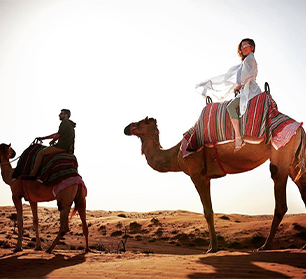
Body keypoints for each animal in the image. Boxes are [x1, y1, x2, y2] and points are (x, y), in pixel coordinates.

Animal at [124, 117, 306, 253]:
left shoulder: (196, 174)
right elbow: (209, 210)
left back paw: (264, 246)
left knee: (280, 200)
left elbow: (208, 212)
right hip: (293, 163)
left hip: (281, 154)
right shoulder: (207, 177)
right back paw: (302, 246)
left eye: (140, 122)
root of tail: (300, 129)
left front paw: (212, 249)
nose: (126, 128)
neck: (175, 155)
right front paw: (212, 246)